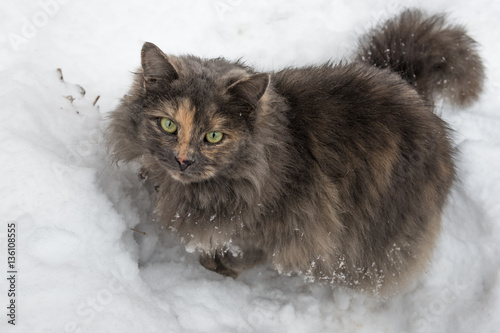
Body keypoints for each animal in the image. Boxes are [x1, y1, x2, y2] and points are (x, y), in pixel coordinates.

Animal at [106, 8, 484, 294]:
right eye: (168, 125)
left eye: (214, 136)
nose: (183, 161)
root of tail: (408, 85)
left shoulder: (291, 227)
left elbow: (245, 253)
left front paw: (217, 267)